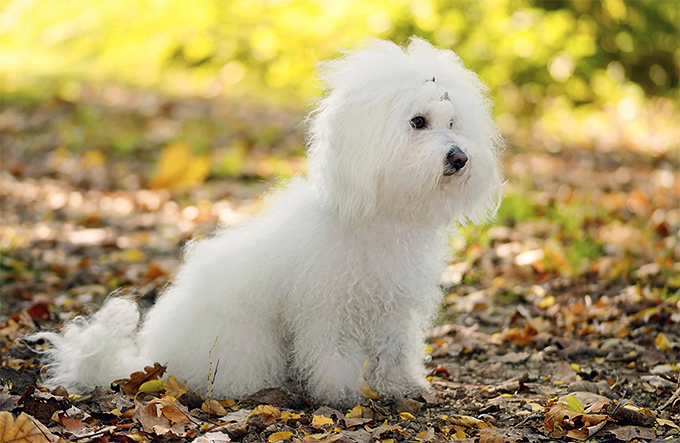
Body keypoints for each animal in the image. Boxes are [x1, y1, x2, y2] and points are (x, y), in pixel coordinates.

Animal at [38, 37, 504, 406]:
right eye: (418, 122)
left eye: (452, 122)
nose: (459, 157)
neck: (379, 214)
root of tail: (149, 360)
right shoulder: (325, 309)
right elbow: (332, 356)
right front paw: (339, 396)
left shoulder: (394, 308)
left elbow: (396, 352)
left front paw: (403, 387)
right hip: (245, 343)